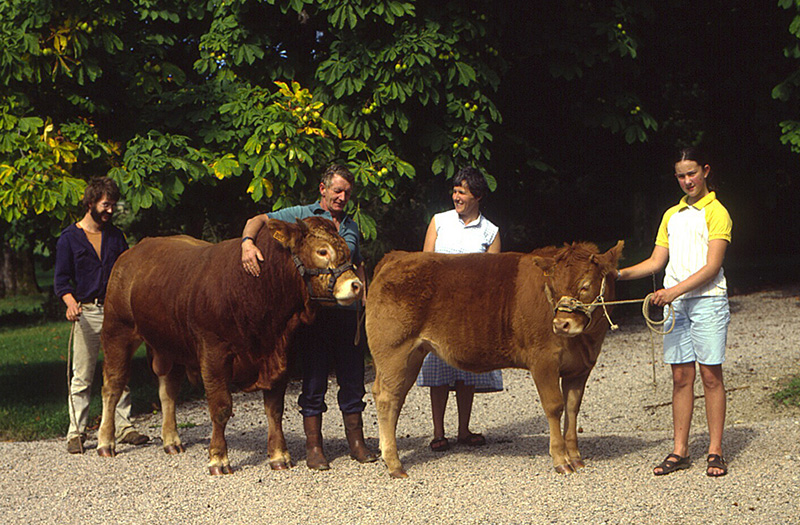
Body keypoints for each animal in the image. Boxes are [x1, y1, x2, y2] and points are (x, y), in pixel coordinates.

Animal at [94, 217, 366, 474]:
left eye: (347, 250)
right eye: (322, 251)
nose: (356, 285)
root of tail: (134, 251)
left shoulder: (281, 355)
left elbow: (274, 409)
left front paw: (279, 455)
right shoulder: (213, 355)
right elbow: (221, 408)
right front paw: (218, 459)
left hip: (171, 344)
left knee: (167, 392)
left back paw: (171, 440)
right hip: (117, 331)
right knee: (112, 387)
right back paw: (105, 443)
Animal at [364, 239, 624, 476]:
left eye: (585, 285)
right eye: (552, 286)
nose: (562, 324)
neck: (585, 341)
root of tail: (398, 256)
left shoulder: (580, 369)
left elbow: (572, 408)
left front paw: (576, 458)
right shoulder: (543, 361)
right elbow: (554, 406)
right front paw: (561, 460)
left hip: (411, 355)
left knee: (392, 396)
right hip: (395, 350)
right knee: (387, 398)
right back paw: (394, 464)